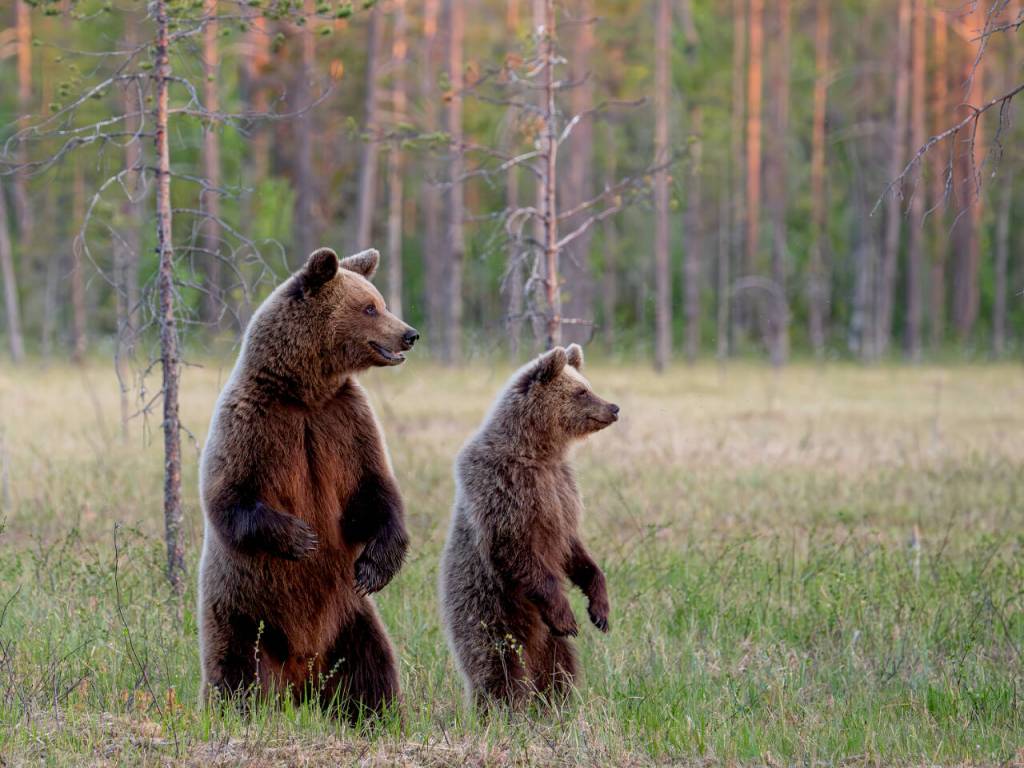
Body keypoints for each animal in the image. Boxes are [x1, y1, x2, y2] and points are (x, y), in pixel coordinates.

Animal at [197, 246, 418, 723]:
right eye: (370, 307)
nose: (409, 334)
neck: (305, 392)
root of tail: (302, 680)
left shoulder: (344, 421)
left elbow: (375, 489)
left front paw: (376, 565)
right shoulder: (255, 420)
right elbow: (228, 494)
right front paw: (299, 538)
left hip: (349, 617)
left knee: (372, 667)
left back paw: (378, 715)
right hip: (244, 614)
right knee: (236, 671)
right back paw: (240, 711)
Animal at [439, 343, 618, 707]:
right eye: (582, 391)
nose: (614, 407)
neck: (538, 452)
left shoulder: (562, 491)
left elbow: (574, 550)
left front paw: (600, 610)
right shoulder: (505, 488)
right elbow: (517, 550)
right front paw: (568, 616)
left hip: (545, 638)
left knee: (560, 667)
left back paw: (556, 705)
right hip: (488, 611)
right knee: (498, 668)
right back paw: (504, 708)